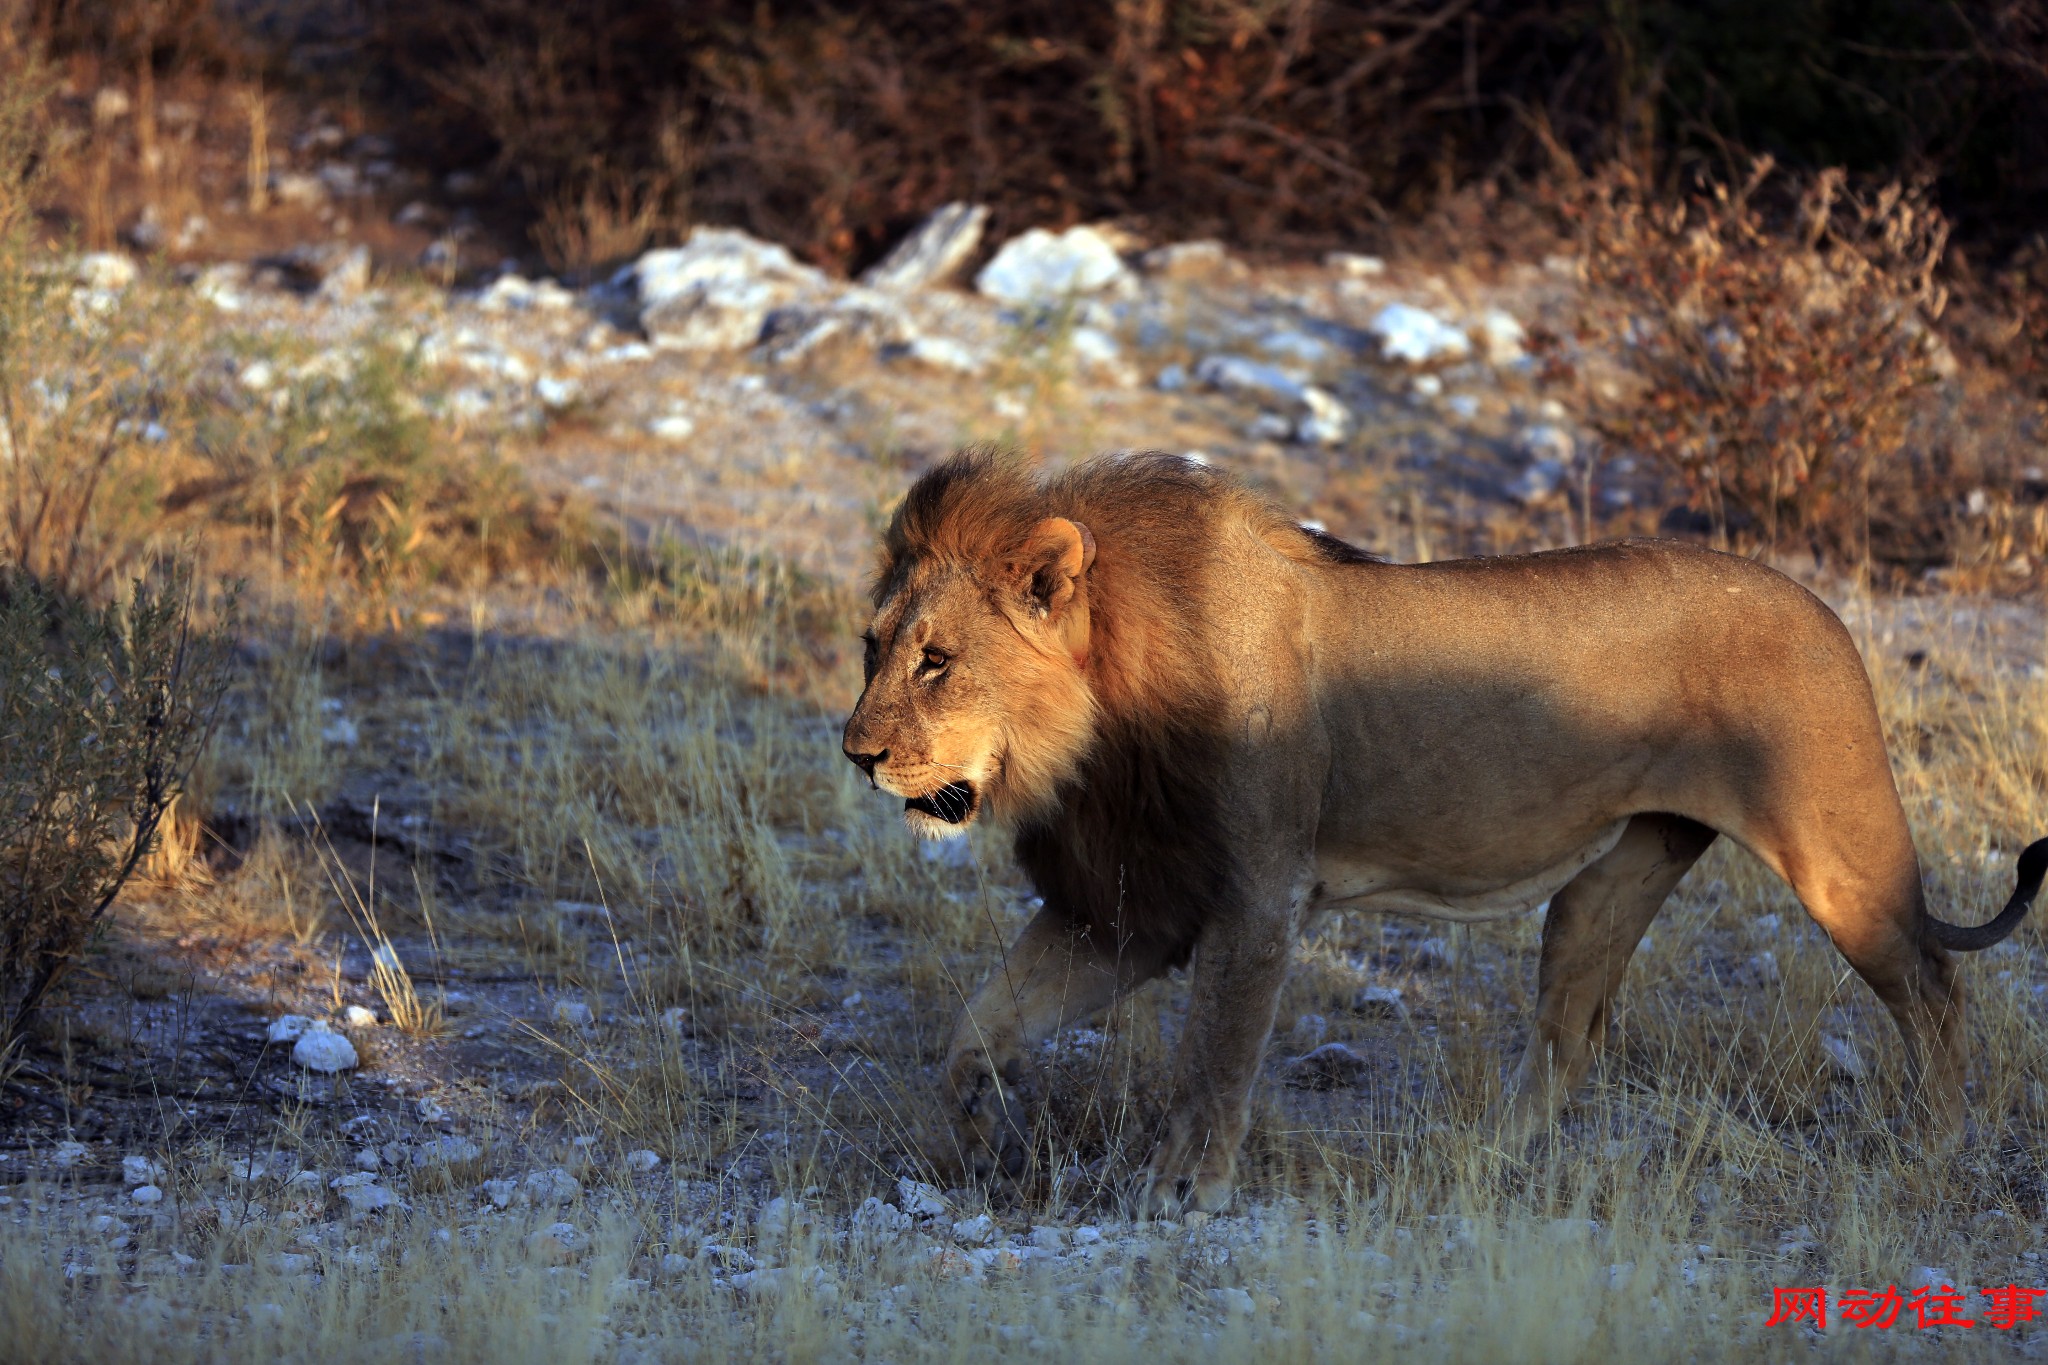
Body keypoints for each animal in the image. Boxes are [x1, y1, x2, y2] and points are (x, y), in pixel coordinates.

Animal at [839, 448, 2039, 1219]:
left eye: (937, 660)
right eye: (871, 647)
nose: (855, 753)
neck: (1098, 735)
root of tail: (1824, 609)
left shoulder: (1255, 898)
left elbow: (1212, 1060)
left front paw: (1181, 1192)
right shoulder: (1130, 904)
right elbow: (978, 1030)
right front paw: (970, 1140)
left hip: (1837, 855)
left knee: (1934, 986)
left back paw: (1940, 1144)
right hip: (1607, 884)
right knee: (1568, 1036)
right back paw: (1486, 1163)